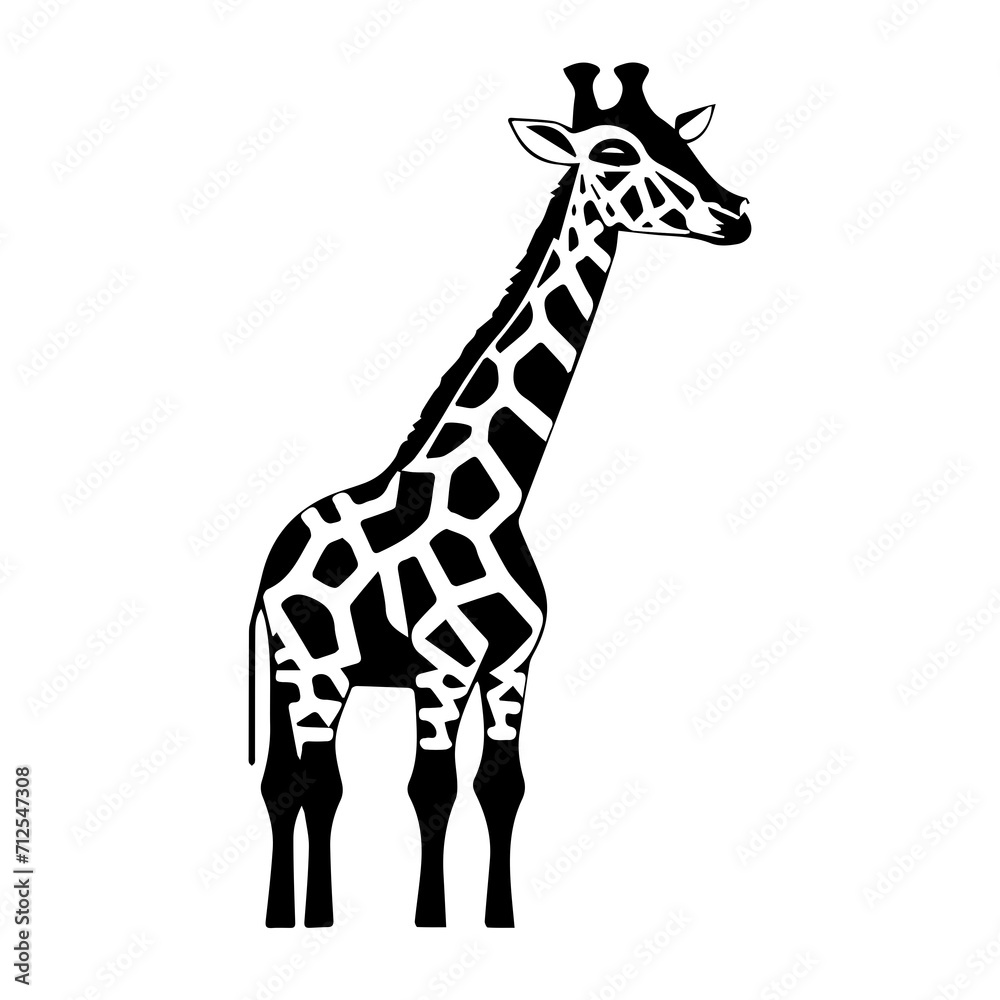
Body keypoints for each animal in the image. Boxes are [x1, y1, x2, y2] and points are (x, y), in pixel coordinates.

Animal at [249, 62, 750, 929]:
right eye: (613, 152)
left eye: (679, 139)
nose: (735, 213)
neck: (491, 499)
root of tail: (275, 556)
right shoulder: (445, 664)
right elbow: (432, 789)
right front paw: (431, 921)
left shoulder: (512, 665)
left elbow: (502, 787)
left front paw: (500, 918)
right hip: (312, 666)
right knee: (302, 782)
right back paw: (293, 918)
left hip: (313, 674)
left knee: (311, 784)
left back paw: (312, 914)